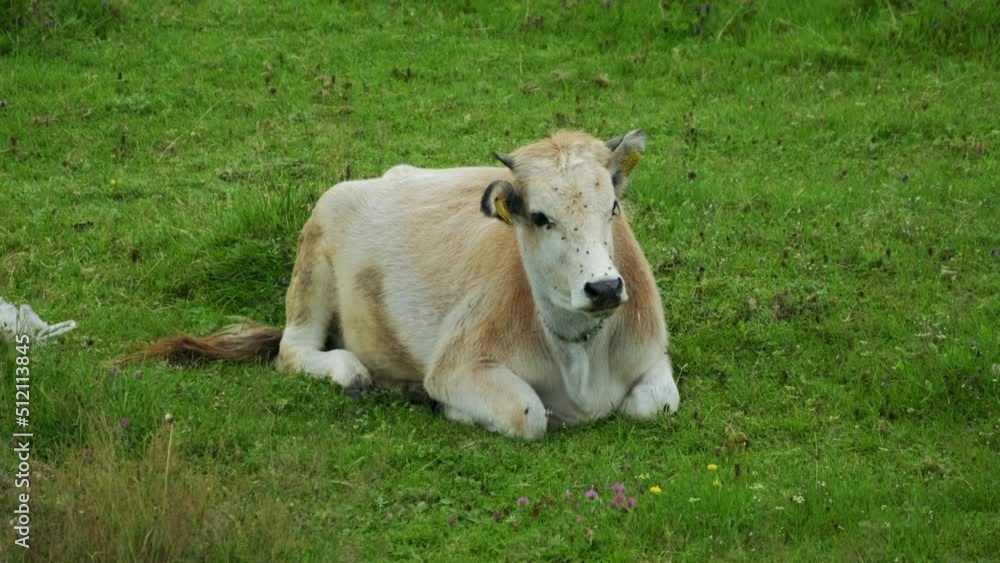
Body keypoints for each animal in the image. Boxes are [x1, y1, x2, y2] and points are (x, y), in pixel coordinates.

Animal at [126, 130, 679, 440]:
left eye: (612, 206)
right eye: (540, 217)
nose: (604, 288)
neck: (579, 355)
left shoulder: (653, 355)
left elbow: (655, 406)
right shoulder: (458, 366)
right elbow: (528, 414)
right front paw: (445, 408)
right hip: (313, 264)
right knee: (293, 350)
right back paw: (351, 372)